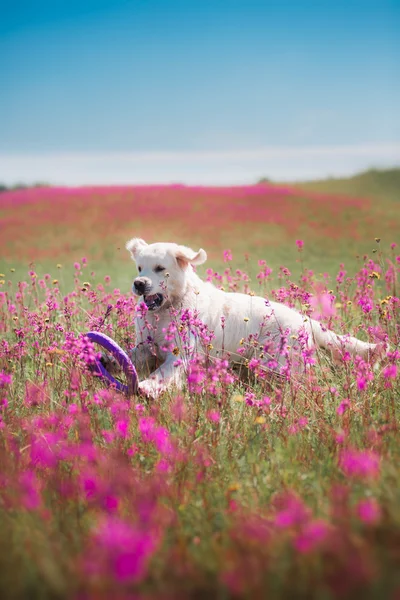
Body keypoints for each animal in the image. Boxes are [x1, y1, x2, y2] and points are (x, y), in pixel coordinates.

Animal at [126, 238, 382, 398]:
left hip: (281, 366)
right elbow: (130, 355)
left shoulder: (181, 353)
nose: (138, 283)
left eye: (160, 268)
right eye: (139, 268)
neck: (167, 308)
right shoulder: (147, 346)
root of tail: (305, 321)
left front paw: (148, 387)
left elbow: (163, 374)